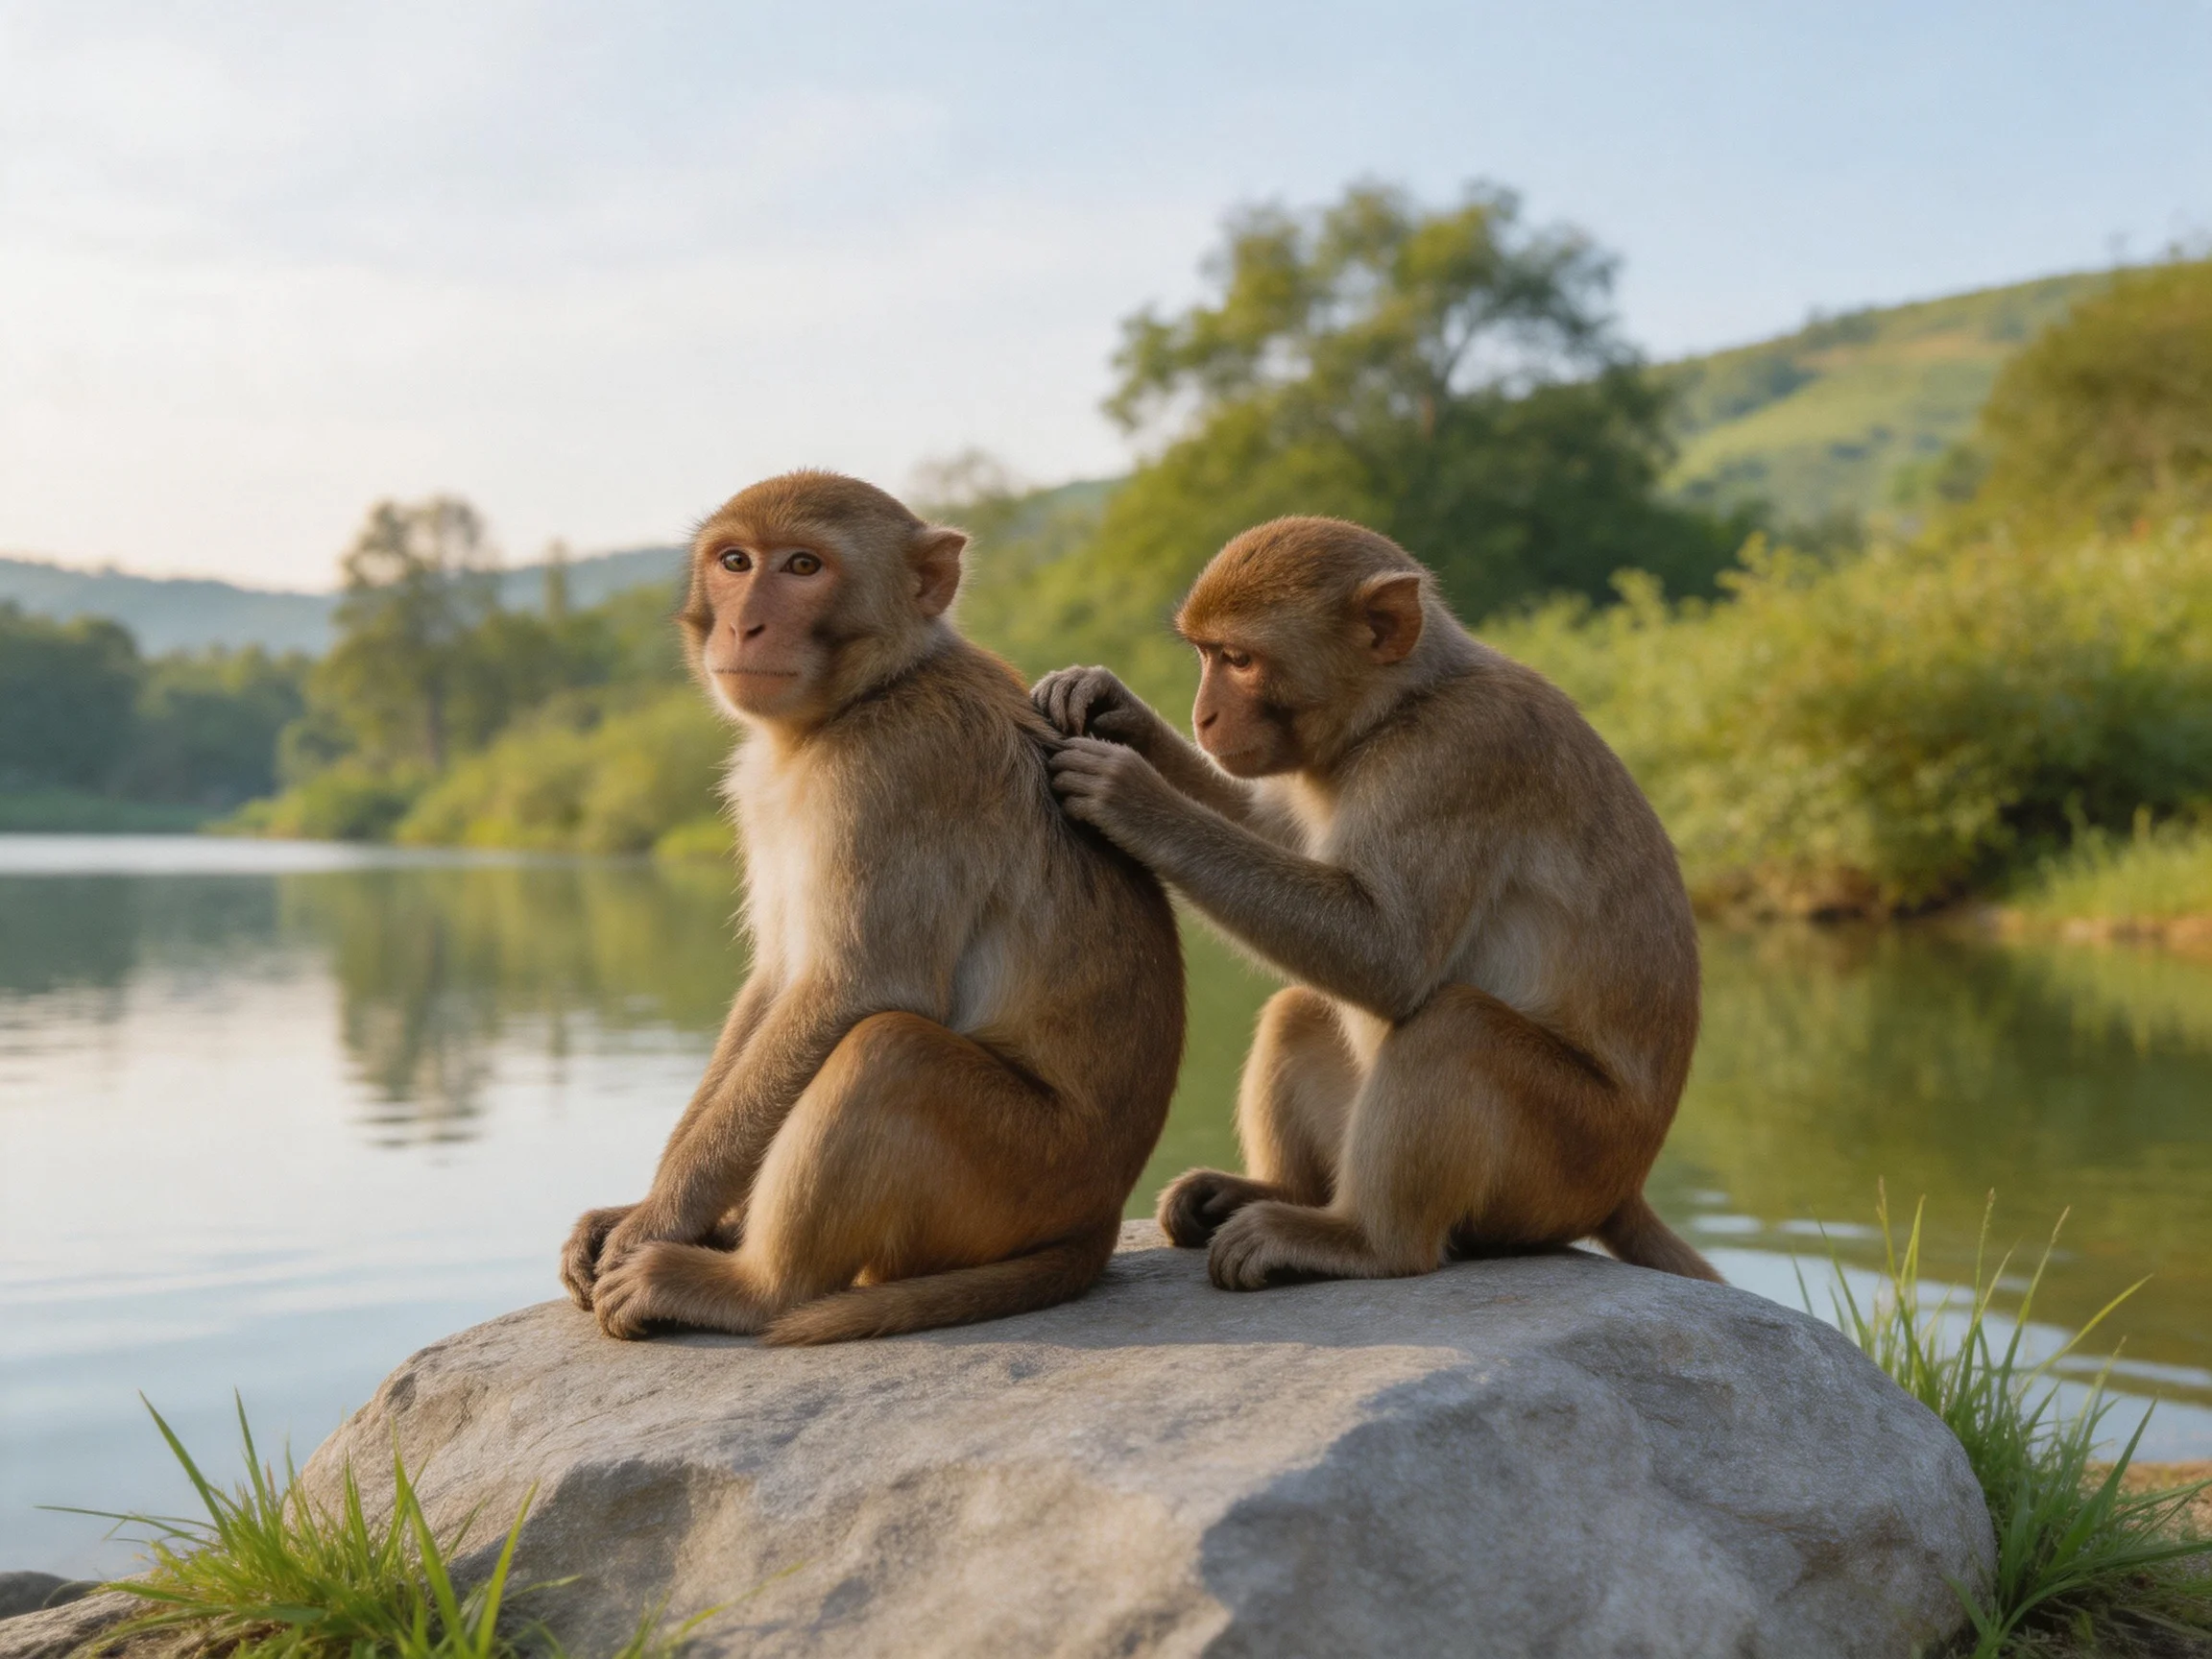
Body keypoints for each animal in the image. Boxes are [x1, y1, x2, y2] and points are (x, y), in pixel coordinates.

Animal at [560, 471, 1184, 1345]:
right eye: (734, 561)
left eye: (802, 566)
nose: (745, 623)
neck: (862, 698)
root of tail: (1097, 1218)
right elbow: (776, 981)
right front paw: (640, 1209)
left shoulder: (894, 771)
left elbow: (852, 990)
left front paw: (656, 1222)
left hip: (1025, 1173)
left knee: (889, 1050)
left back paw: (752, 1288)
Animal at [1031, 515, 1720, 1293]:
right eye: (1207, 656)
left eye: (1238, 659)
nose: (1203, 717)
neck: (1399, 710)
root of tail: (1624, 1186)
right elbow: (1275, 830)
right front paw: (1111, 706)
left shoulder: (1455, 758)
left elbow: (1387, 958)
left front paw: (1133, 796)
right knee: (1301, 1007)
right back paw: (1277, 1193)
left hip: (1564, 1162)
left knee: (1456, 1028)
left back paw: (1363, 1241)